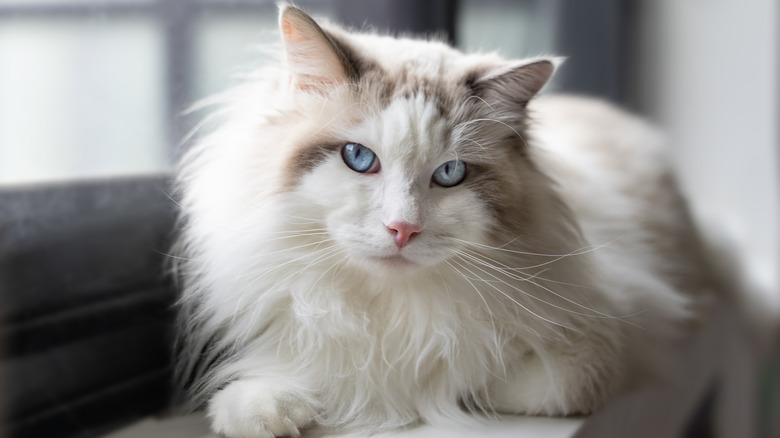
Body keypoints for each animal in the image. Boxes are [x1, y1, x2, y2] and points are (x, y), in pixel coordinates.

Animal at [174, 3, 708, 438]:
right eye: (358, 158)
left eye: (450, 174)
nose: (402, 230)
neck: (393, 310)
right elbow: (283, 382)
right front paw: (271, 410)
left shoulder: (605, 347)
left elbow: (482, 380)